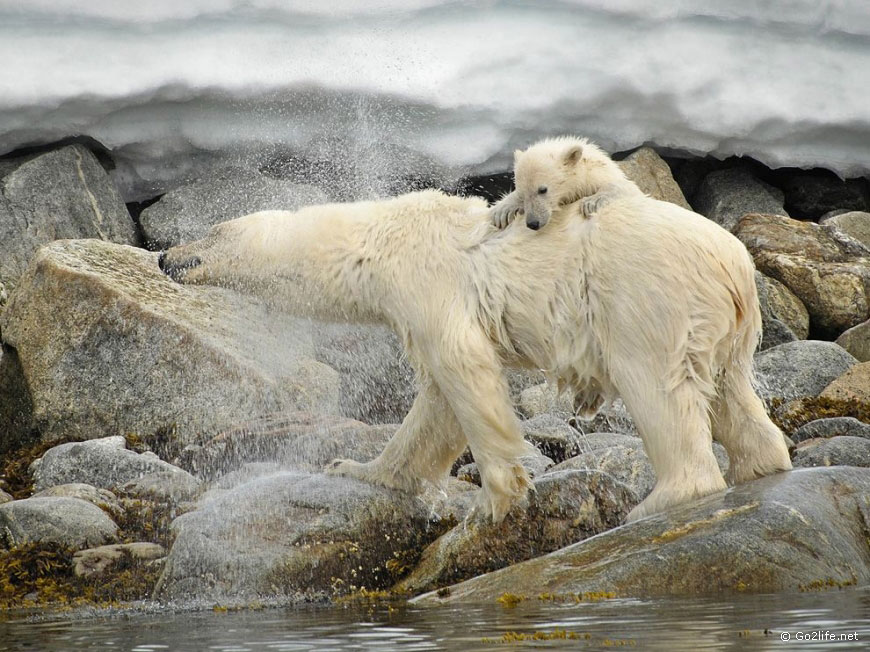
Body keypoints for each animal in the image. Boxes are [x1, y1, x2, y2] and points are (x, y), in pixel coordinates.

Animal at [160, 140, 792, 524]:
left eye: (211, 231)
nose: (165, 256)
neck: (381, 238)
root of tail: (735, 264)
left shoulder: (428, 285)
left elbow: (465, 373)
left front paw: (495, 499)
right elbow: (434, 408)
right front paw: (357, 469)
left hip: (647, 301)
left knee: (658, 388)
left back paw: (659, 499)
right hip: (720, 326)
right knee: (730, 390)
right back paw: (762, 464)